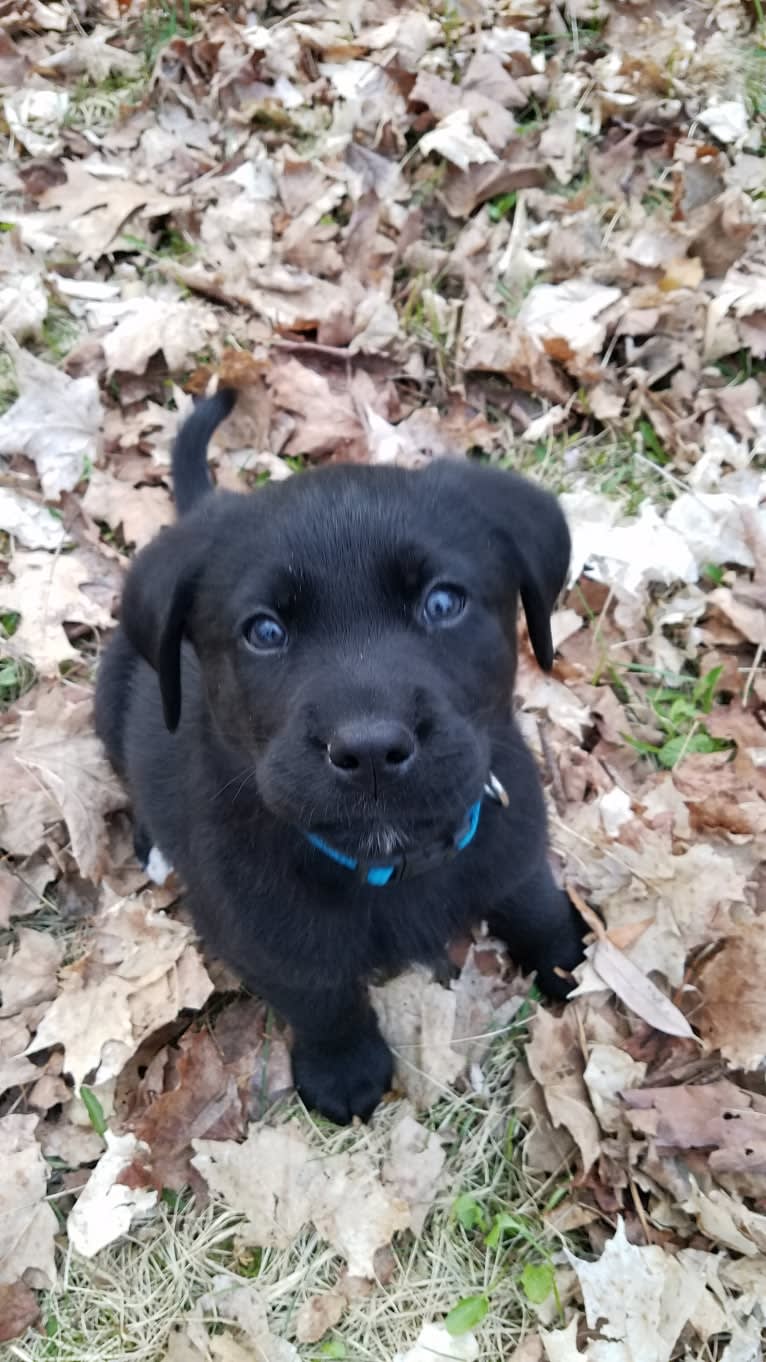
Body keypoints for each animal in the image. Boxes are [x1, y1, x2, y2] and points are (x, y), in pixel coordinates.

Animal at [96, 389, 583, 1122]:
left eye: (444, 601)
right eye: (265, 631)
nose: (371, 748)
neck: (387, 853)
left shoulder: (510, 830)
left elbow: (530, 894)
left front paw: (566, 954)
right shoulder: (267, 929)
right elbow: (319, 994)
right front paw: (344, 1069)